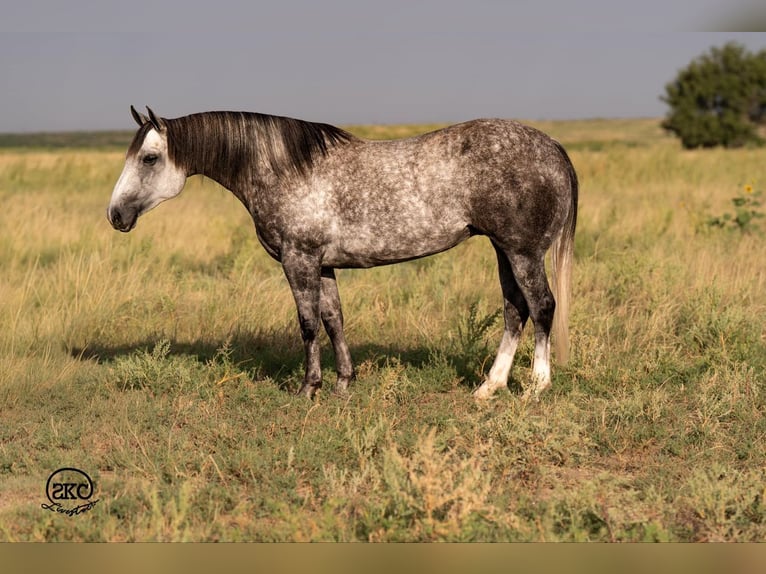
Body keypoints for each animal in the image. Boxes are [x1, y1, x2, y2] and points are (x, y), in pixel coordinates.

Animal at [108, 106, 577, 400]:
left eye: (149, 158)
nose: (115, 215)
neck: (285, 169)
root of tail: (553, 146)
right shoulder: (324, 265)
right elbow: (334, 320)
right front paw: (343, 384)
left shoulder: (299, 260)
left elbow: (308, 324)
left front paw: (308, 388)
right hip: (504, 251)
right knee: (515, 310)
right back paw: (489, 387)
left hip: (523, 253)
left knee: (541, 306)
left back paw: (536, 387)